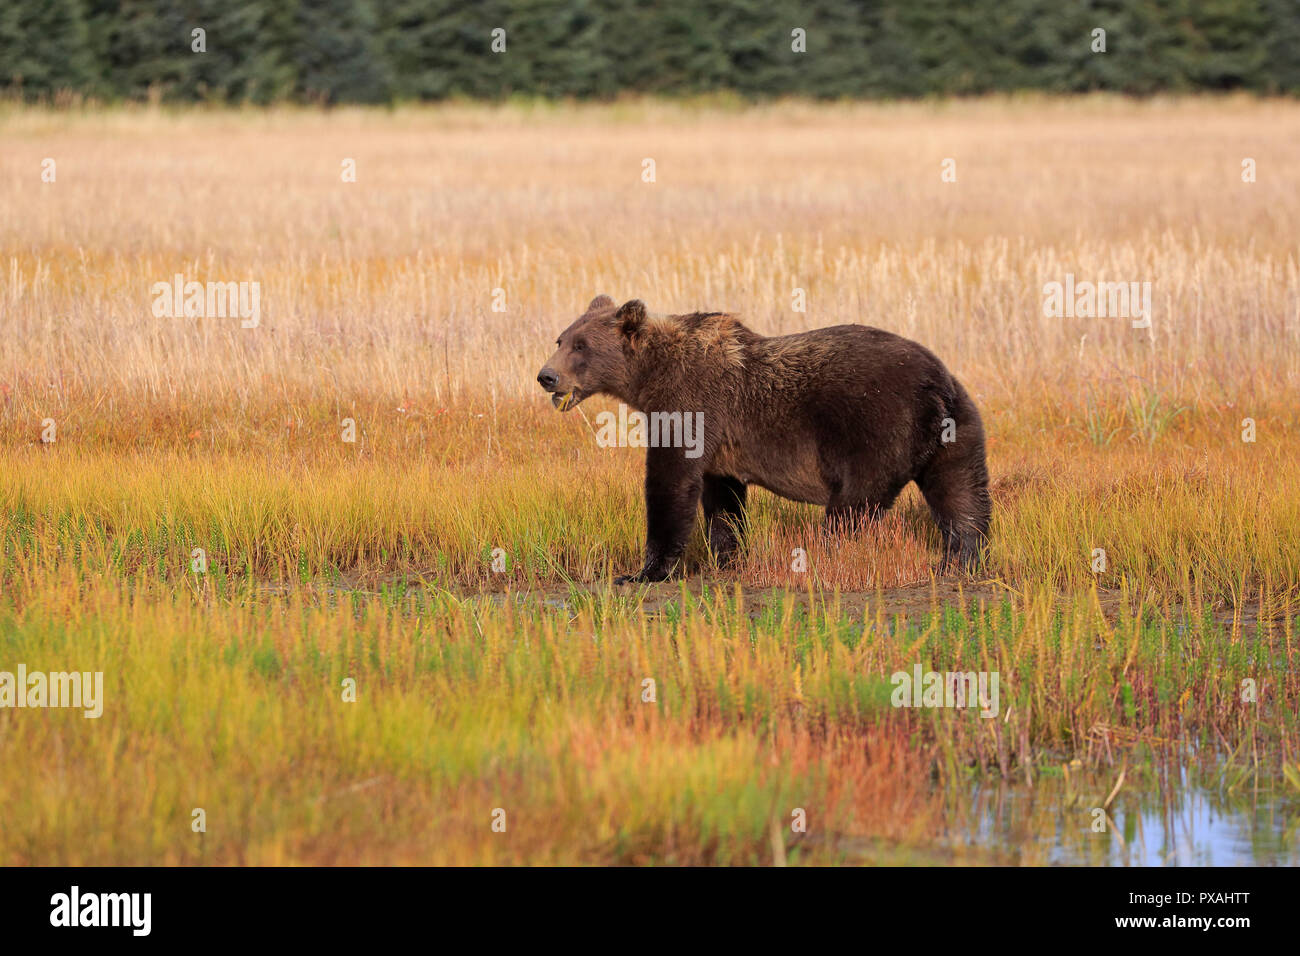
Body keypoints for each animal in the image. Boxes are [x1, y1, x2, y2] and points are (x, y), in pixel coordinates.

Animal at [533, 293, 987, 582]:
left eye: (581, 345)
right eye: (560, 338)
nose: (546, 375)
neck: (648, 378)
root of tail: (935, 383)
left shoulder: (690, 404)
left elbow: (670, 482)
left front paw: (645, 571)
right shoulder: (720, 445)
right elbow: (722, 498)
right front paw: (726, 557)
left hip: (875, 425)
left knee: (854, 503)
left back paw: (822, 554)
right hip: (959, 429)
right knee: (962, 494)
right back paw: (959, 560)